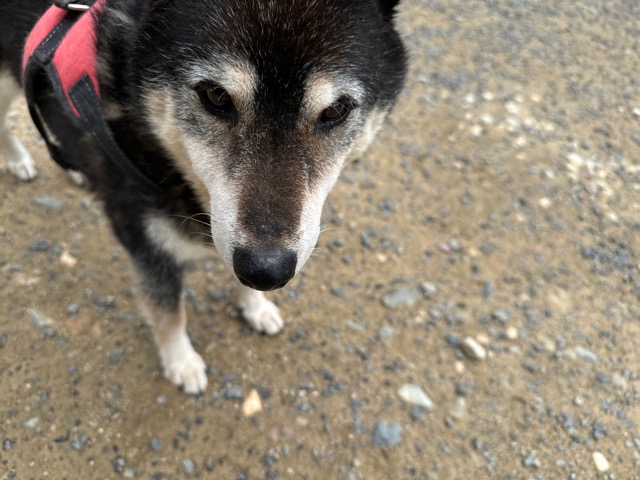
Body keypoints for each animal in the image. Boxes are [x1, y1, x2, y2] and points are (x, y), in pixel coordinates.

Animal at [0, 0, 407, 394]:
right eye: (216, 96)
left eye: (336, 110)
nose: (268, 271)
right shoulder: (151, 250)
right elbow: (168, 314)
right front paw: (181, 363)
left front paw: (255, 306)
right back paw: (19, 160)